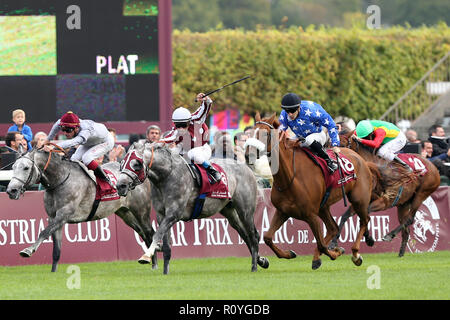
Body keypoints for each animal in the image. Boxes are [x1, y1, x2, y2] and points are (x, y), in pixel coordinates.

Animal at [4, 149, 156, 272]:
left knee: (150, 233)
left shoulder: (63, 214)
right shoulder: (54, 217)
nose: (11, 190)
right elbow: (56, 249)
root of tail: (141, 175)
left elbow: (44, 232)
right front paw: (53, 272)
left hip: (141, 211)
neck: (59, 180)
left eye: (26, 167)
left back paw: (153, 263)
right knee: (142, 233)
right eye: (13, 167)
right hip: (125, 213)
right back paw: (149, 258)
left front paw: (28, 250)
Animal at [117, 141, 270, 274]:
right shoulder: (162, 215)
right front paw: (165, 272)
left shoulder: (174, 213)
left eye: (136, 164)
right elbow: (166, 246)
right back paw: (261, 260)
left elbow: (157, 234)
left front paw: (146, 255)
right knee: (245, 235)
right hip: (230, 212)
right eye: (121, 164)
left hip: (245, 210)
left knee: (253, 235)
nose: (120, 186)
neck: (166, 176)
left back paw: (254, 266)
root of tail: (246, 167)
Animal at [246, 114, 372, 268]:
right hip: (323, 207)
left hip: (359, 199)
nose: (248, 155)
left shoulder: (310, 214)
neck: (290, 177)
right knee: (333, 228)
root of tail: (359, 157)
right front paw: (288, 254)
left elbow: (322, 245)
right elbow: (267, 237)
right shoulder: (283, 211)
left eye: (266, 134)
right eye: (250, 133)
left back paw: (355, 254)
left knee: (364, 220)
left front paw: (335, 252)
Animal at [330, 126, 440, 256]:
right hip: (403, 204)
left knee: (410, 219)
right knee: (406, 227)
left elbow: (366, 215)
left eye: (342, 145)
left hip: (421, 195)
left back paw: (389, 235)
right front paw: (333, 243)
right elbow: (345, 216)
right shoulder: (362, 200)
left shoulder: (384, 201)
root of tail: (434, 167)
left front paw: (369, 238)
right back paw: (401, 253)